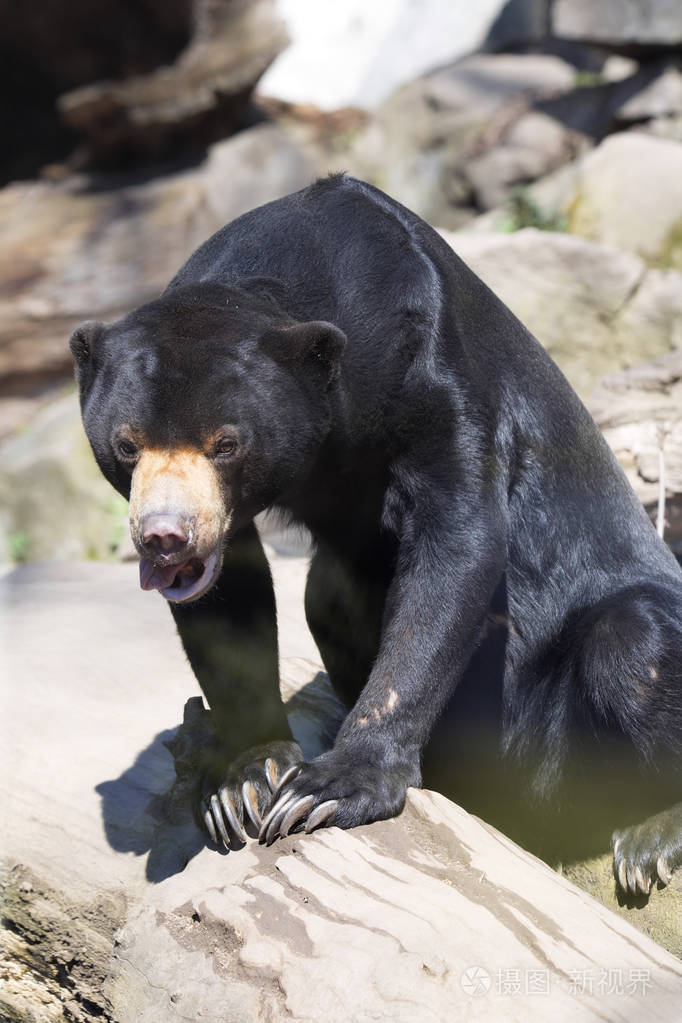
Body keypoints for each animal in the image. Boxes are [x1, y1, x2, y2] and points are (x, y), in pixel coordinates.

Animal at [70, 175, 682, 896]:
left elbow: (457, 543)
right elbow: (229, 596)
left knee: (633, 643)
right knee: (327, 595)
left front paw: (330, 786)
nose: (167, 537)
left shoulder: (433, 371)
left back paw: (650, 836)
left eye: (226, 443)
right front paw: (242, 782)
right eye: (127, 445)